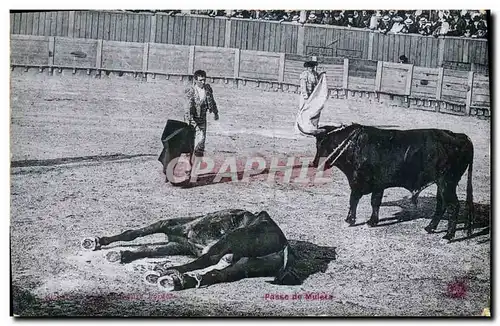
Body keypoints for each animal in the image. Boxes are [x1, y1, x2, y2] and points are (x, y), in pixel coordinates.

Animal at [310, 123, 474, 241]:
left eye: (321, 144)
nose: (314, 163)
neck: (354, 144)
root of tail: (460, 136)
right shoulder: (379, 184)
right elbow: (375, 202)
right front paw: (372, 222)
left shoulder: (357, 182)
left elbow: (353, 200)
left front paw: (349, 220)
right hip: (442, 184)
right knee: (441, 204)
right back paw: (429, 228)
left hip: (447, 182)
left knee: (453, 206)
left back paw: (448, 236)